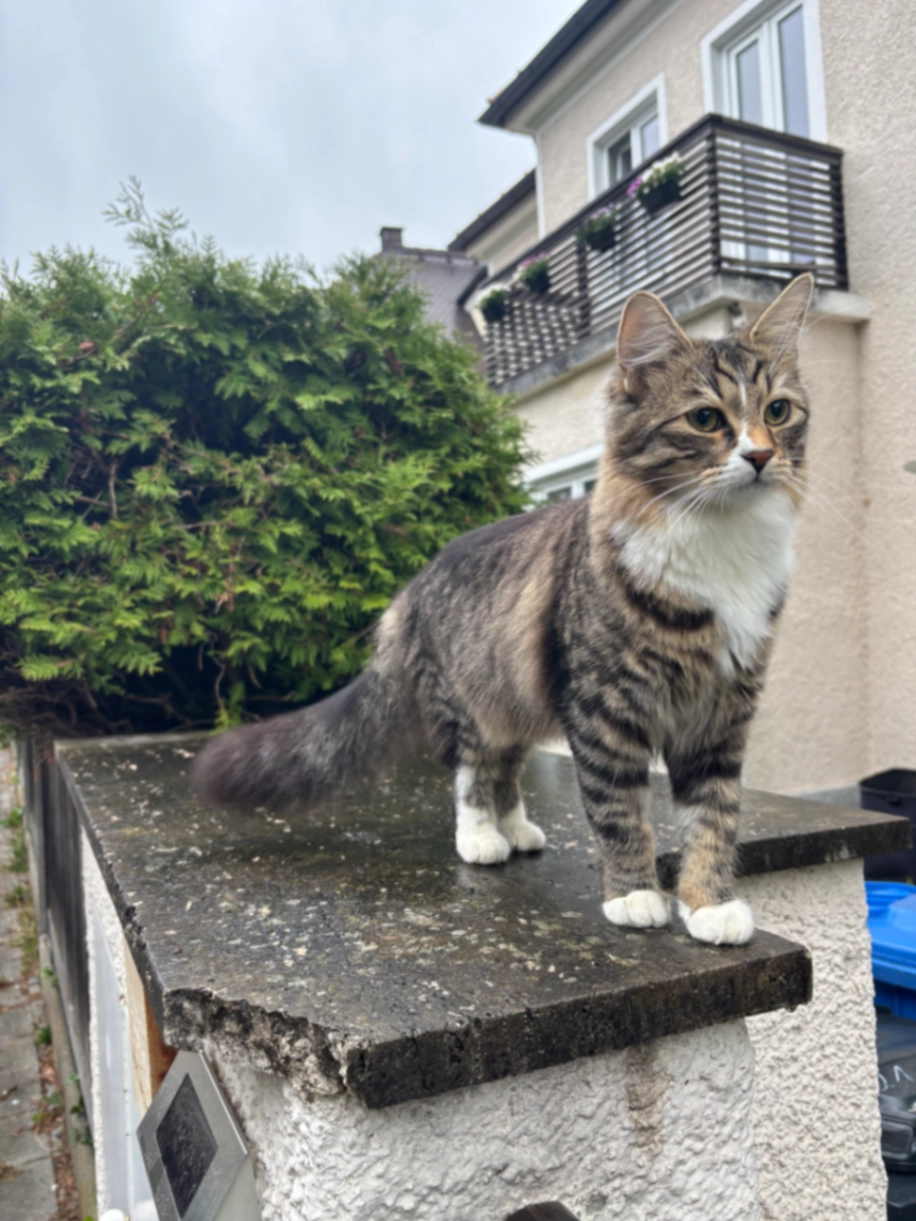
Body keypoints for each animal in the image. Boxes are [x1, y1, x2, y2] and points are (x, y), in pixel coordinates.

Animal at [191, 273, 814, 947]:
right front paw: (634, 894)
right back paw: (481, 838)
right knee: (471, 774)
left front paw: (708, 904)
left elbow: (714, 819)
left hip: (512, 692)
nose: (760, 456)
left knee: (506, 772)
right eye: (705, 419)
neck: (720, 542)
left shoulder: (720, 715)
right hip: (467, 704)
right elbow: (621, 812)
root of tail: (416, 581)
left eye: (778, 411)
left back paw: (515, 829)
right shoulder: (603, 708)